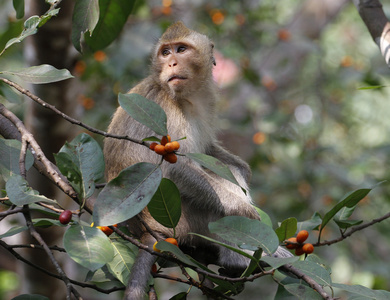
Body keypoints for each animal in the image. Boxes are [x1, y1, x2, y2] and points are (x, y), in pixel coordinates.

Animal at [102, 22, 290, 298]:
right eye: (165, 53)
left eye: (181, 50)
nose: (171, 63)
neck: (184, 97)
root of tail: (144, 231)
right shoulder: (164, 110)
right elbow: (174, 169)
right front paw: (242, 209)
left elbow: (212, 153)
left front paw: (244, 171)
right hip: (182, 221)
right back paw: (238, 259)